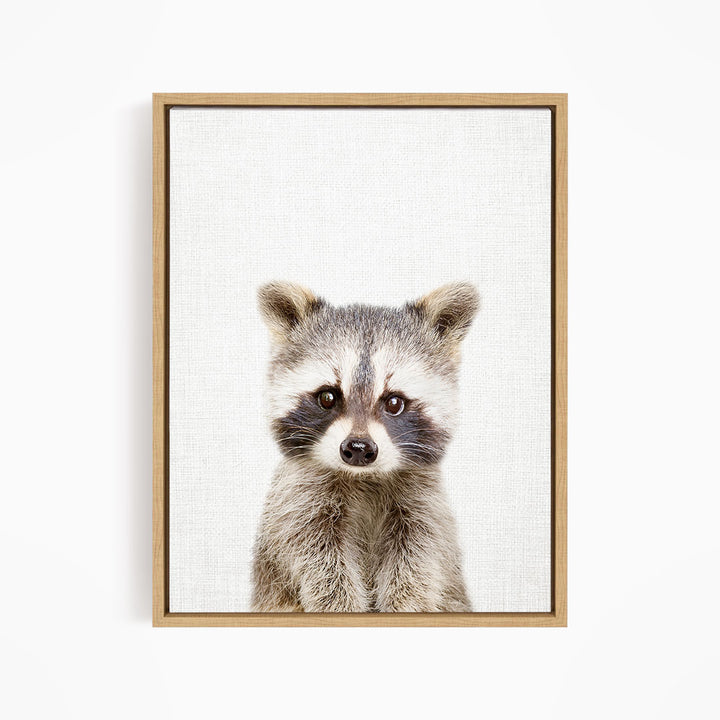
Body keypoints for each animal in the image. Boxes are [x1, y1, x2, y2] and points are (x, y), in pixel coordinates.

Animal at [251, 281, 479, 612]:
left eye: (394, 402)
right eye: (327, 397)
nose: (358, 448)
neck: (364, 477)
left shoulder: (424, 507)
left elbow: (419, 561)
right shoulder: (298, 502)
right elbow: (319, 563)